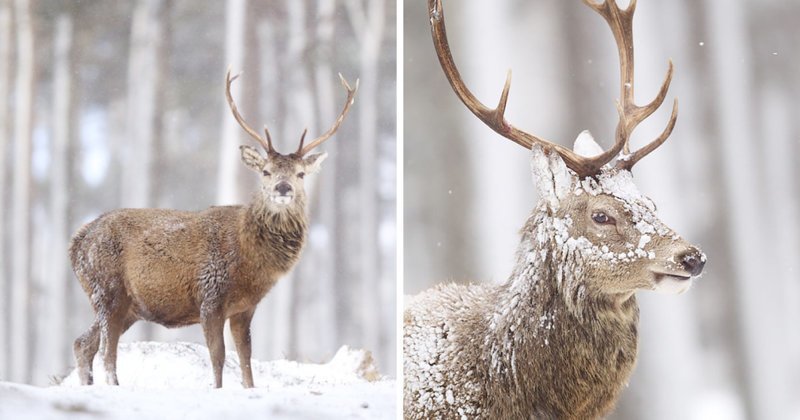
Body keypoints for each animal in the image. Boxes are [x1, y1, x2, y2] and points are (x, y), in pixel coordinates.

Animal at [70, 69, 358, 388]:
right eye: (266, 171)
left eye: (301, 174)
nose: (283, 188)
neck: (250, 262)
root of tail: (76, 243)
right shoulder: (210, 297)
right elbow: (218, 357)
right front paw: (217, 389)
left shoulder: (245, 307)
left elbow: (245, 359)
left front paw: (248, 388)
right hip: (107, 288)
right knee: (107, 350)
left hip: (127, 305)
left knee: (83, 343)